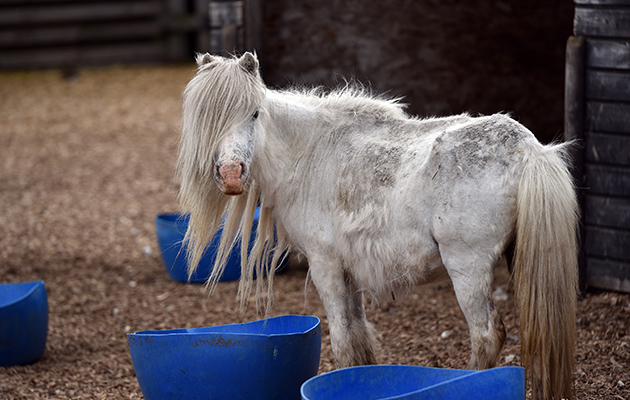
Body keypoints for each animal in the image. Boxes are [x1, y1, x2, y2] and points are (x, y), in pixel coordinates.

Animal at [177, 54, 576, 400]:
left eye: (255, 113)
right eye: (205, 118)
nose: (231, 174)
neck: (309, 154)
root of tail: (529, 149)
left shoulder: (325, 266)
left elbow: (341, 339)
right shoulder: (349, 271)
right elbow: (358, 336)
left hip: (468, 267)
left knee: (486, 335)